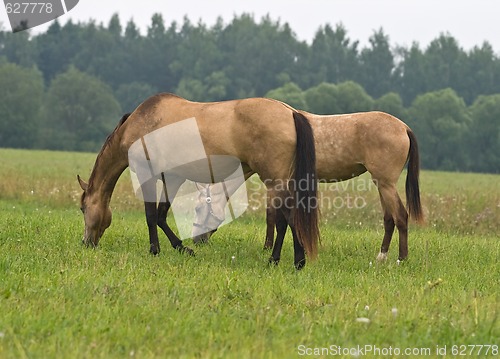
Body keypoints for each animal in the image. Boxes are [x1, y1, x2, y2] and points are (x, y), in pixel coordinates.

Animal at [78, 93, 320, 270]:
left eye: (82, 208)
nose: (86, 243)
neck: (140, 123)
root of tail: (290, 112)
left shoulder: (147, 175)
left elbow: (151, 216)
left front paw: (155, 249)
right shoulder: (173, 177)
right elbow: (161, 215)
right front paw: (182, 247)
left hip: (275, 182)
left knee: (288, 218)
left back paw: (288, 261)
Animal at [190, 109, 422, 264]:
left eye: (199, 208)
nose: (197, 240)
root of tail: (404, 127)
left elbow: (273, 217)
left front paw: (268, 249)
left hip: (386, 184)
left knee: (401, 216)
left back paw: (401, 259)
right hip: (381, 184)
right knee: (389, 218)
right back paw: (382, 256)